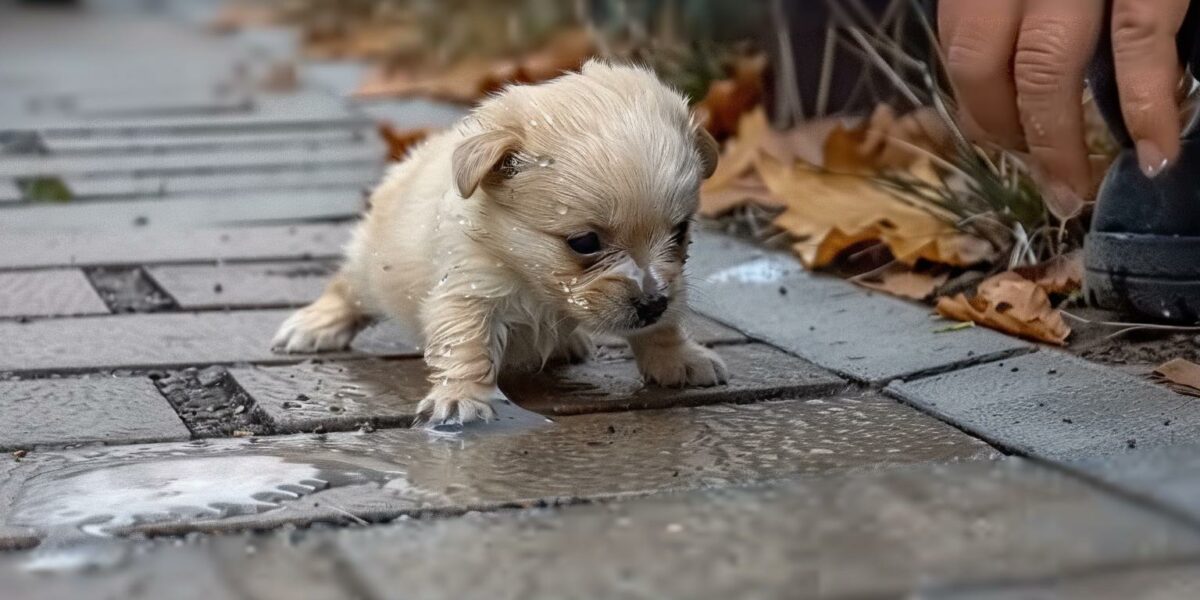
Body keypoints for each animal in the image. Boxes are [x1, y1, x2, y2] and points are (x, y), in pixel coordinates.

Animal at [276, 59, 724, 422]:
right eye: (584, 242)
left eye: (680, 231)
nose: (651, 303)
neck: (527, 270)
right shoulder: (467, 291)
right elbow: (468, 345)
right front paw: (462, 399)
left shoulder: (667, 288)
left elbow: (664, 325)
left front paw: (678, 358)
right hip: (374, 270)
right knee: (345, 289)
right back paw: (315, 325)